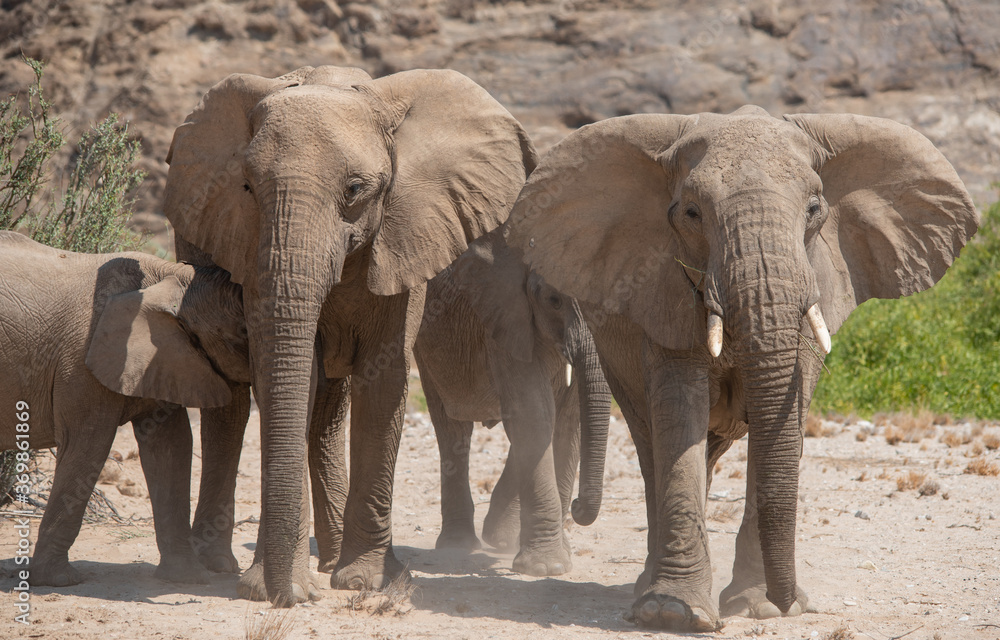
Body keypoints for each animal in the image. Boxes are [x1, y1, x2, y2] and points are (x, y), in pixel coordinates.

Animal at [0, 231, 249, 592]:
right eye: (243, 334)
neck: (170, 275)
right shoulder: (81, 365)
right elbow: (89, 444)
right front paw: (59, 581)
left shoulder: (162, 358)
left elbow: (171, 446)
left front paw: (188, 579)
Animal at [164, 62, 536, 604]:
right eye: (247, 187)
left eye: (356, 189)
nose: (290, 597)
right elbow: (287, 378)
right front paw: (270, 586)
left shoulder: (407, 238)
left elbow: (382, 381)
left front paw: (365, 581)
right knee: (236, 406)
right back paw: (222, 563)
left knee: (325, 412)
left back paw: (332, 558)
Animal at [504, 106, 980, 632]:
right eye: (691, 213)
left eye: (815, 209)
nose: (791, 602)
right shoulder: (663, 293)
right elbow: (680, 411)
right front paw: (671, 612)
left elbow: (785, 418)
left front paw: (758, 607)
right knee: (653, 444)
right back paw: (649, 584)